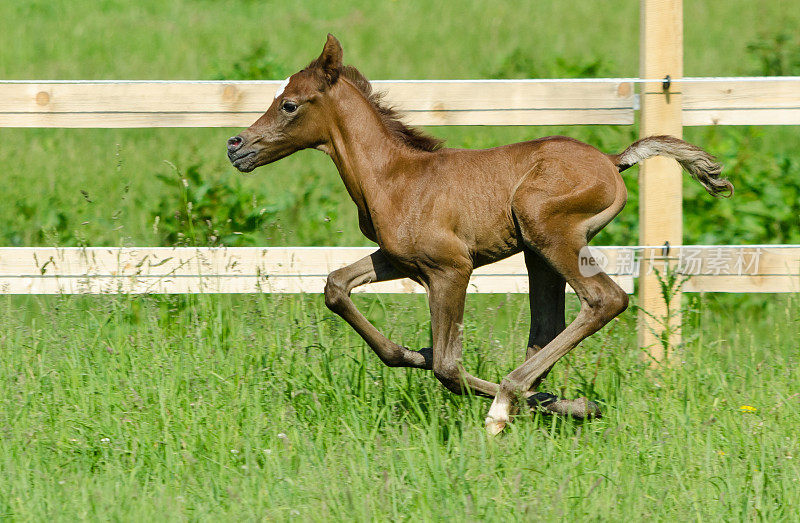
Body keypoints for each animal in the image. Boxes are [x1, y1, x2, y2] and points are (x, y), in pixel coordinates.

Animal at [225, 33, 732, 434]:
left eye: (289, 104)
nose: (236, 146)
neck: (393, 177)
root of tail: (613, 160)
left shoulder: (450, 268)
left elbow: (448, 367)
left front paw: (492, 395)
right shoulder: (397, 258)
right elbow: (337, 288)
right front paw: (412, 352)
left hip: (550, 234)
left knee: (604, 300)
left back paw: (508, 402)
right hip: (535, 252)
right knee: (546, 327)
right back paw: (551, 401)